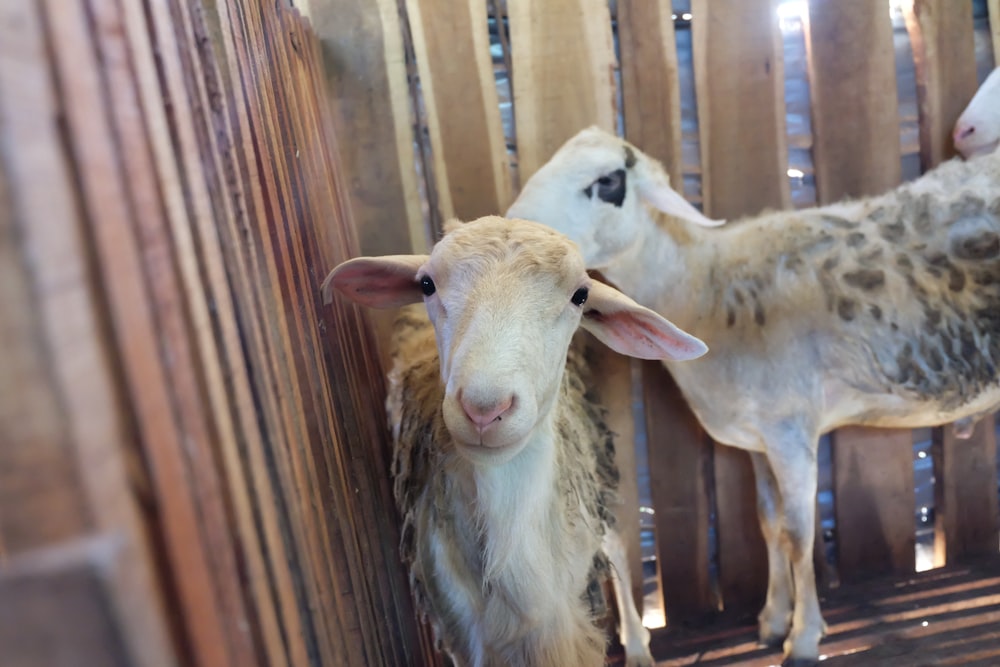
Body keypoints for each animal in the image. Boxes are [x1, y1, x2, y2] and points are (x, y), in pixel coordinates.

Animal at [508, 128, 1000, 664]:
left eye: (609, 181)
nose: (515, 233)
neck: (704, 284)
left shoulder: (790, 431)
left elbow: (799, 534)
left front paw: (803, 638)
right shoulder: (759, 438)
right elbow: (769, 523)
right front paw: (772, 620)